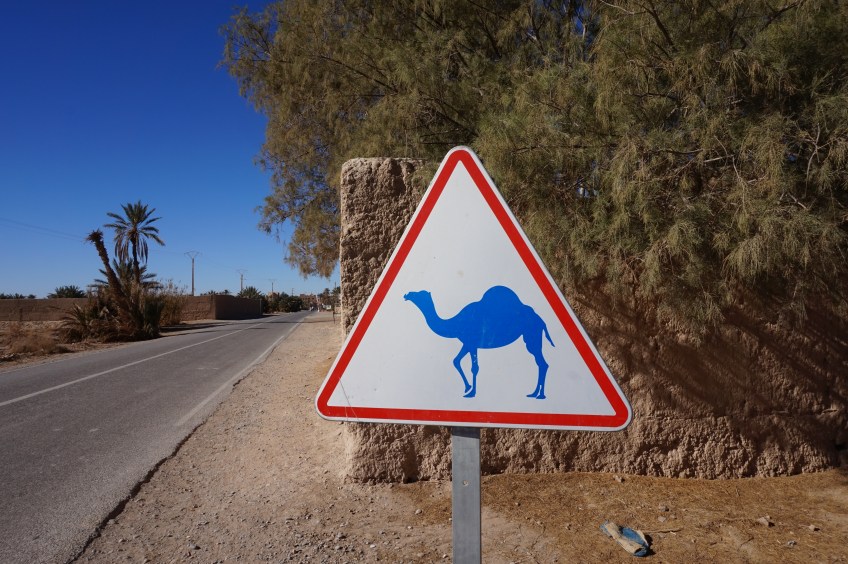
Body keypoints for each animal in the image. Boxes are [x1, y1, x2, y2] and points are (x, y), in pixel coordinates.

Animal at [403, 286, 554, 399]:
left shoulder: (472, 343)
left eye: (420, 294)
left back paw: (540, 395)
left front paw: (471, 393)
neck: (456, 323)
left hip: (532, 334)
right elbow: (456, 361)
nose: (407, 294)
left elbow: (474, 367)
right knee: (541, 363)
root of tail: (541, 320)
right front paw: (467, 388)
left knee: (542, 362)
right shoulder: (467, 343)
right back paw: (534, 393)